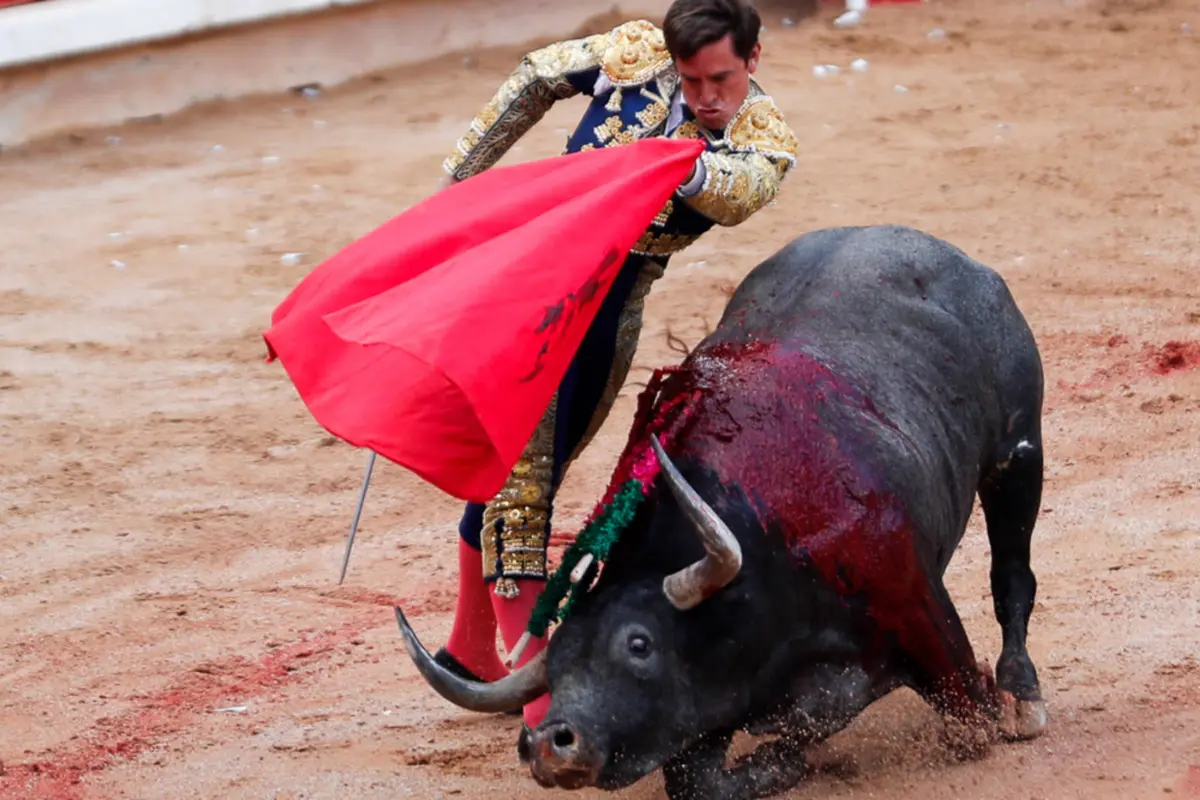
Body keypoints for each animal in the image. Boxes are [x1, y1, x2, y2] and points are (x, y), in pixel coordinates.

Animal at [396, 225, 1051, 800]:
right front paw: (790, 762)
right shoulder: (708, 703)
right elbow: (702, 779)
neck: (764, 545)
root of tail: (949, 256)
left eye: (639, 644)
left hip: (1019, 454)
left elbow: (969, 718)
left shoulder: (919, 615)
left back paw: (1026, 696)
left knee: (1012, 577)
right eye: (554, 667)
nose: (548, 743)